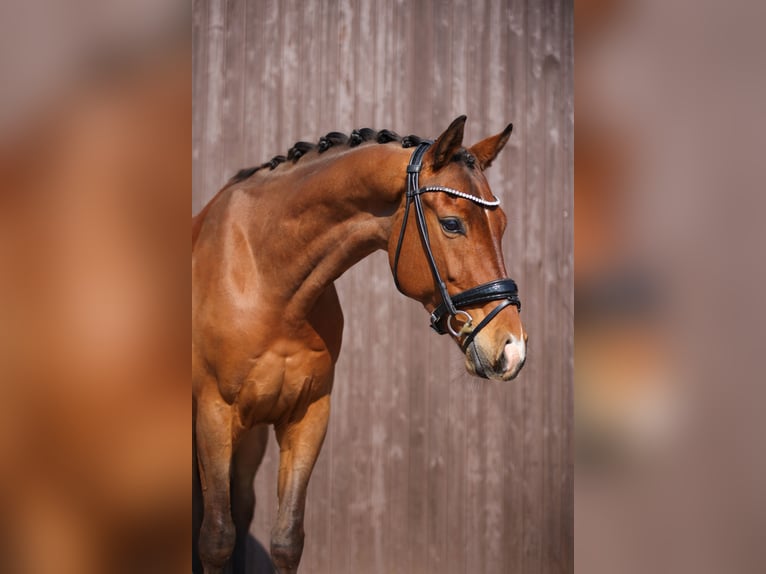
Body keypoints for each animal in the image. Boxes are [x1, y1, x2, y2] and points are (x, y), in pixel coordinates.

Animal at [192, 116, 527, 573]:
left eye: (503, 224)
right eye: (452, 224)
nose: (512, 348)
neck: (266, 276)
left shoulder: (308, 414)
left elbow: (285, 539)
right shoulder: (214, 413)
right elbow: (215, 539)